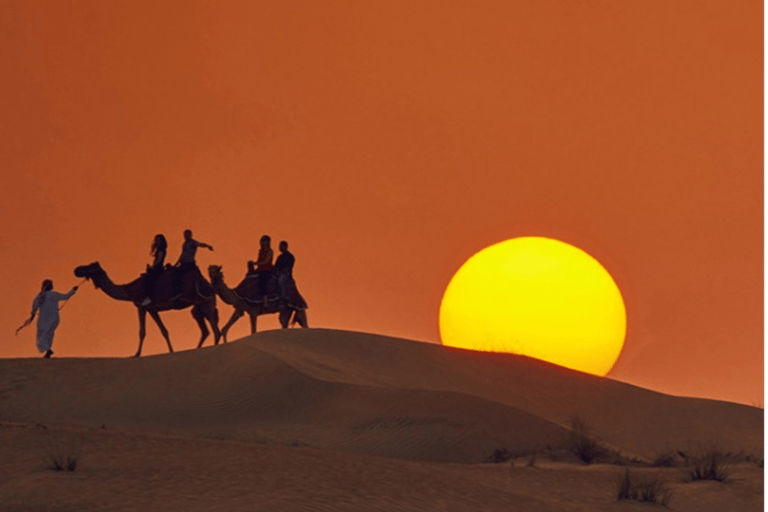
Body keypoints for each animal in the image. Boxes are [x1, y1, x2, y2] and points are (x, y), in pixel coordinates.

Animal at [74, 260, 220, 356]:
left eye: (89, 267)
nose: (76, 269)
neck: (129, 290)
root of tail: (207, 283)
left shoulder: (141, 306)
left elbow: (142, 331)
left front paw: (136, 354)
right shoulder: (152, 309)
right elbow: (164, 331)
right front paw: (171, 351)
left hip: (203, 301)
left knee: (214, 329)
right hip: (200, 305)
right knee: (208, 330)